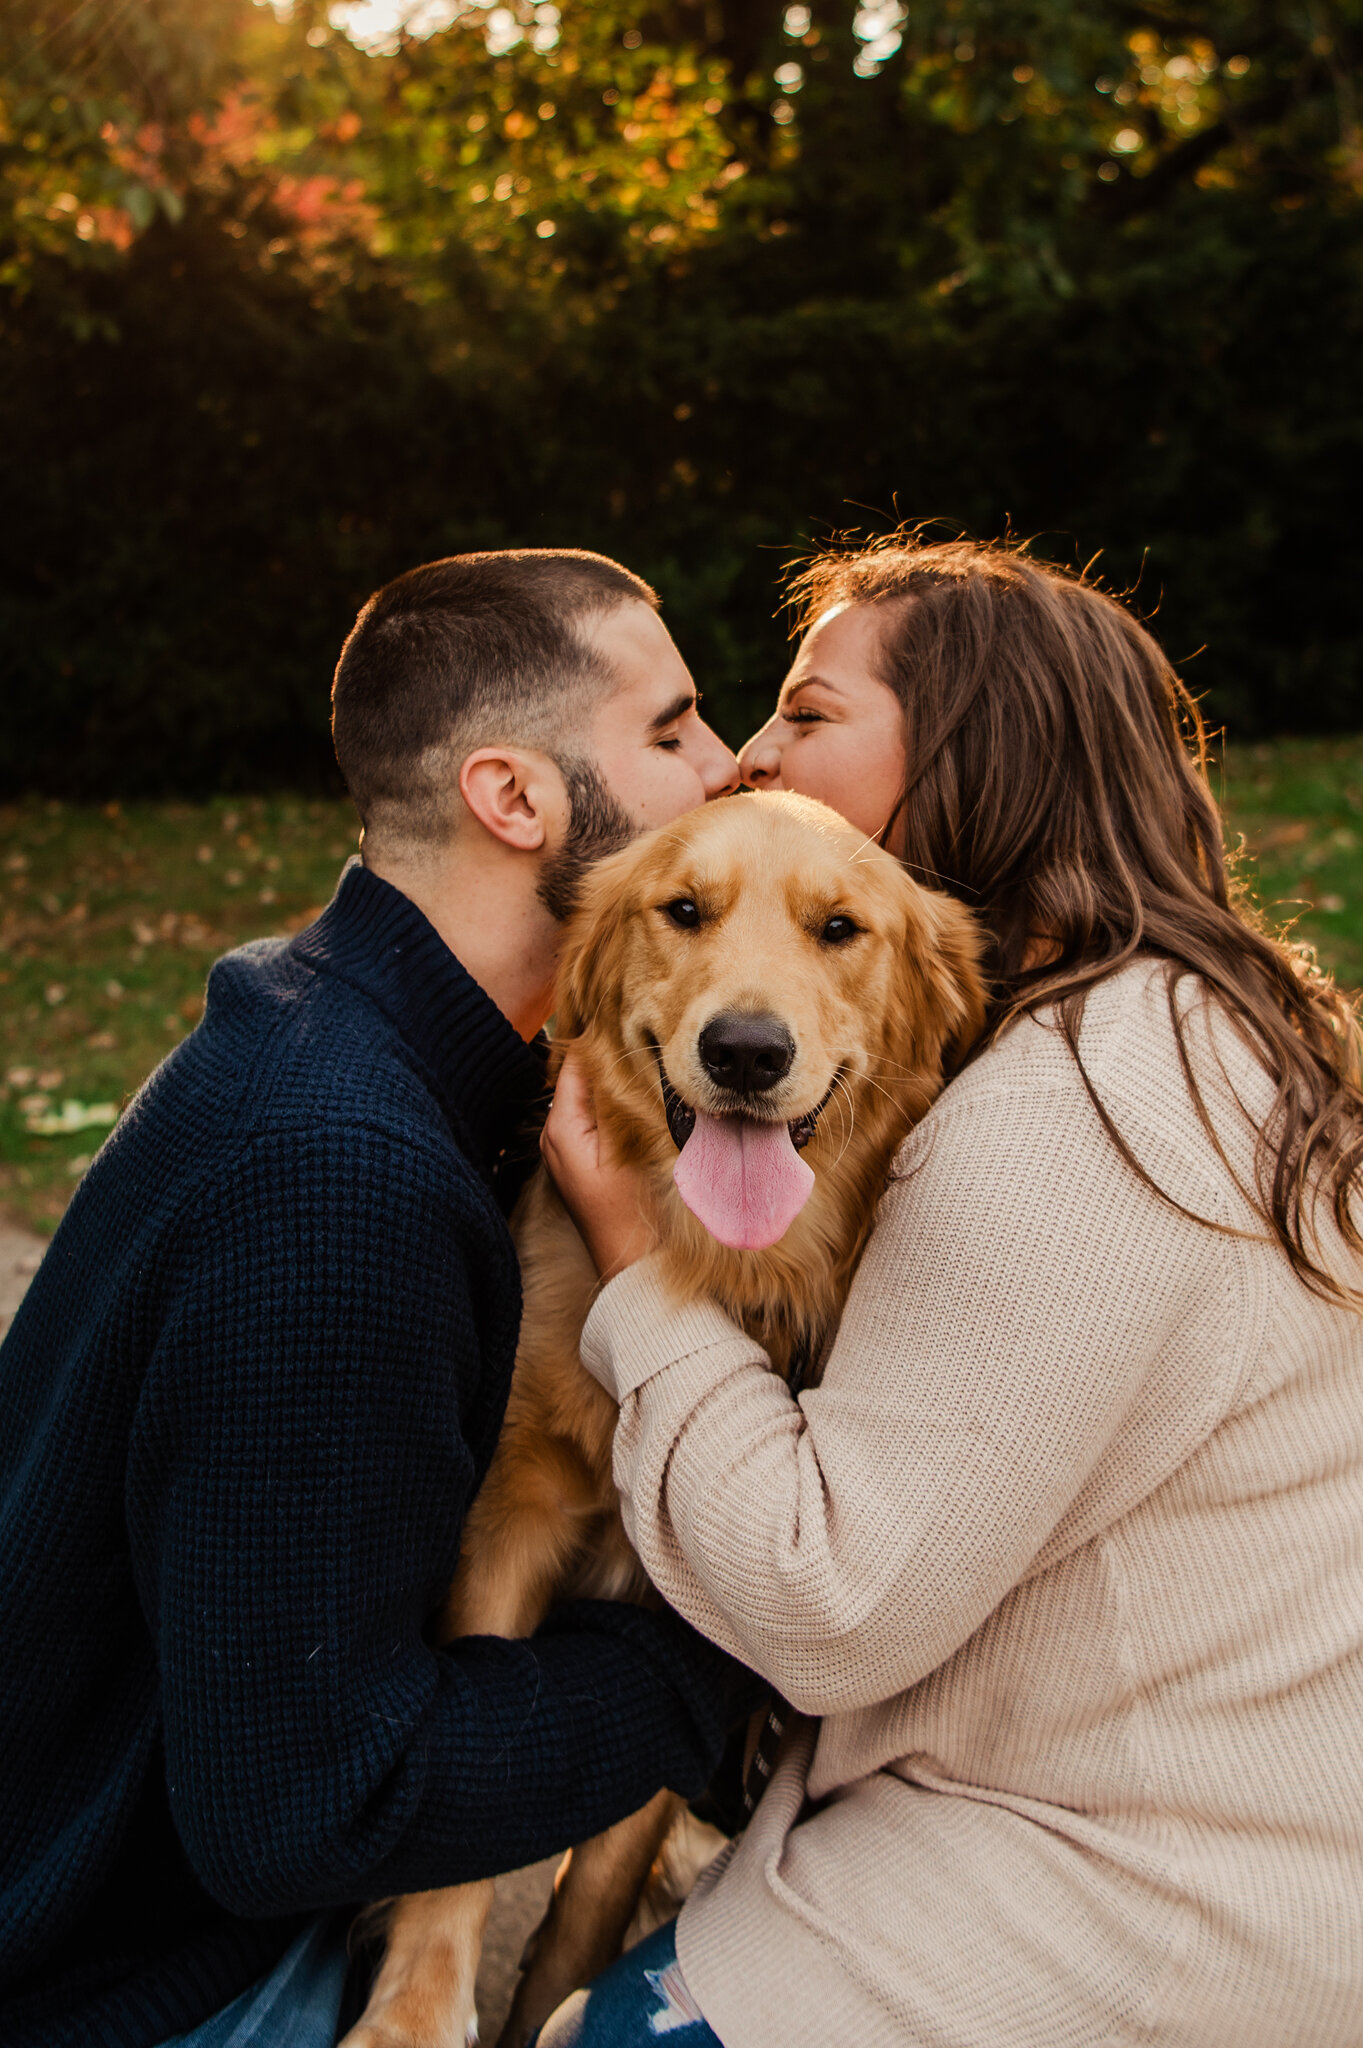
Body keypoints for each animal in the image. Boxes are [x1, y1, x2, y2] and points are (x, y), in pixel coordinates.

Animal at [339, 786, 978, 2048]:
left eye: (840, 928)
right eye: (683, 909)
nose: (745, 1050)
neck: (721, 1264)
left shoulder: (679, 1607)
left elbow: (587, 1897)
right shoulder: (513, 1518)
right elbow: (467, 1806)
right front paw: (415, 2007)